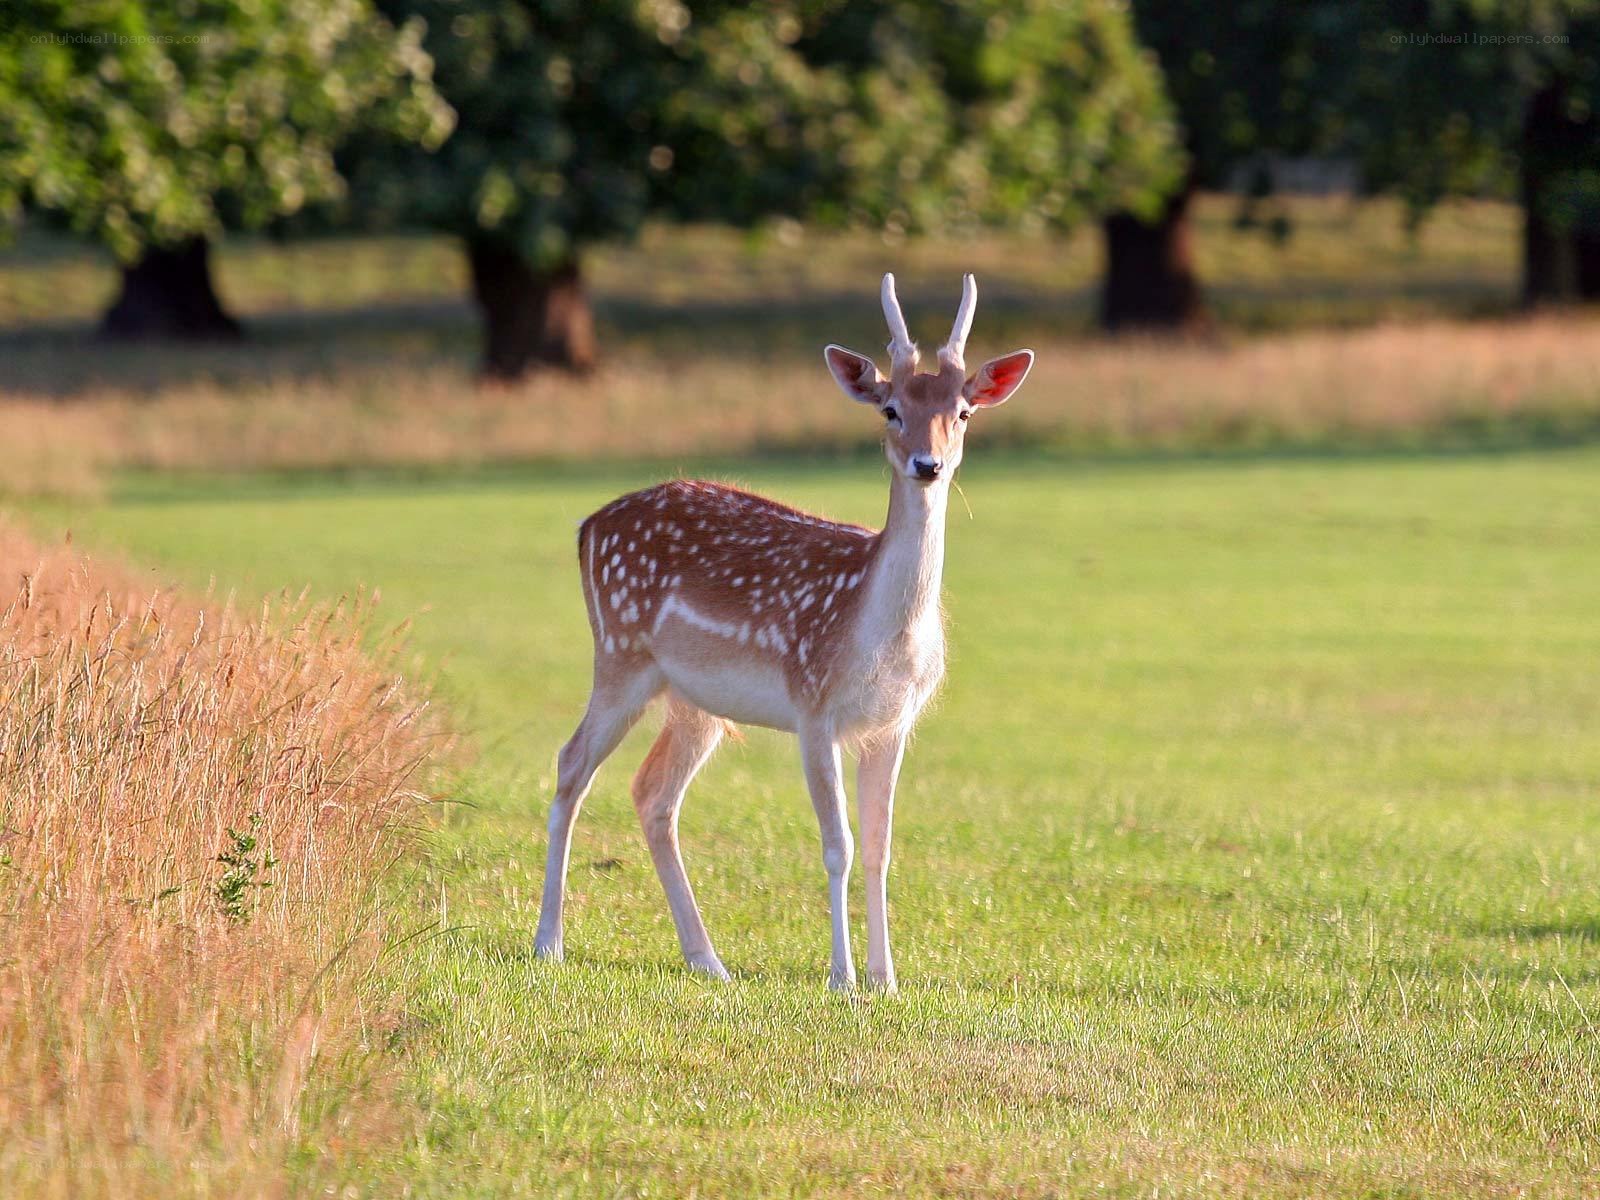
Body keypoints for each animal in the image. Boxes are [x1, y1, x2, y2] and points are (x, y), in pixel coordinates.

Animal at [533, 273, 1033, 991]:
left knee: (652, 794)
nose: (927, 464)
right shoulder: (813, 704)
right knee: (572, 764)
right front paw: (843, 978)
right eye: (889, 409)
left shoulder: (893, 723)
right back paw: (548, 942)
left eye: (963, 411)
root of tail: (586, 526)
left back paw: (707, 959)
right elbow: (837, 845)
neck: (878, 636)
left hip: (694, 701)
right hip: (619, 652)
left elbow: (880, 846)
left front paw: (886, 978)